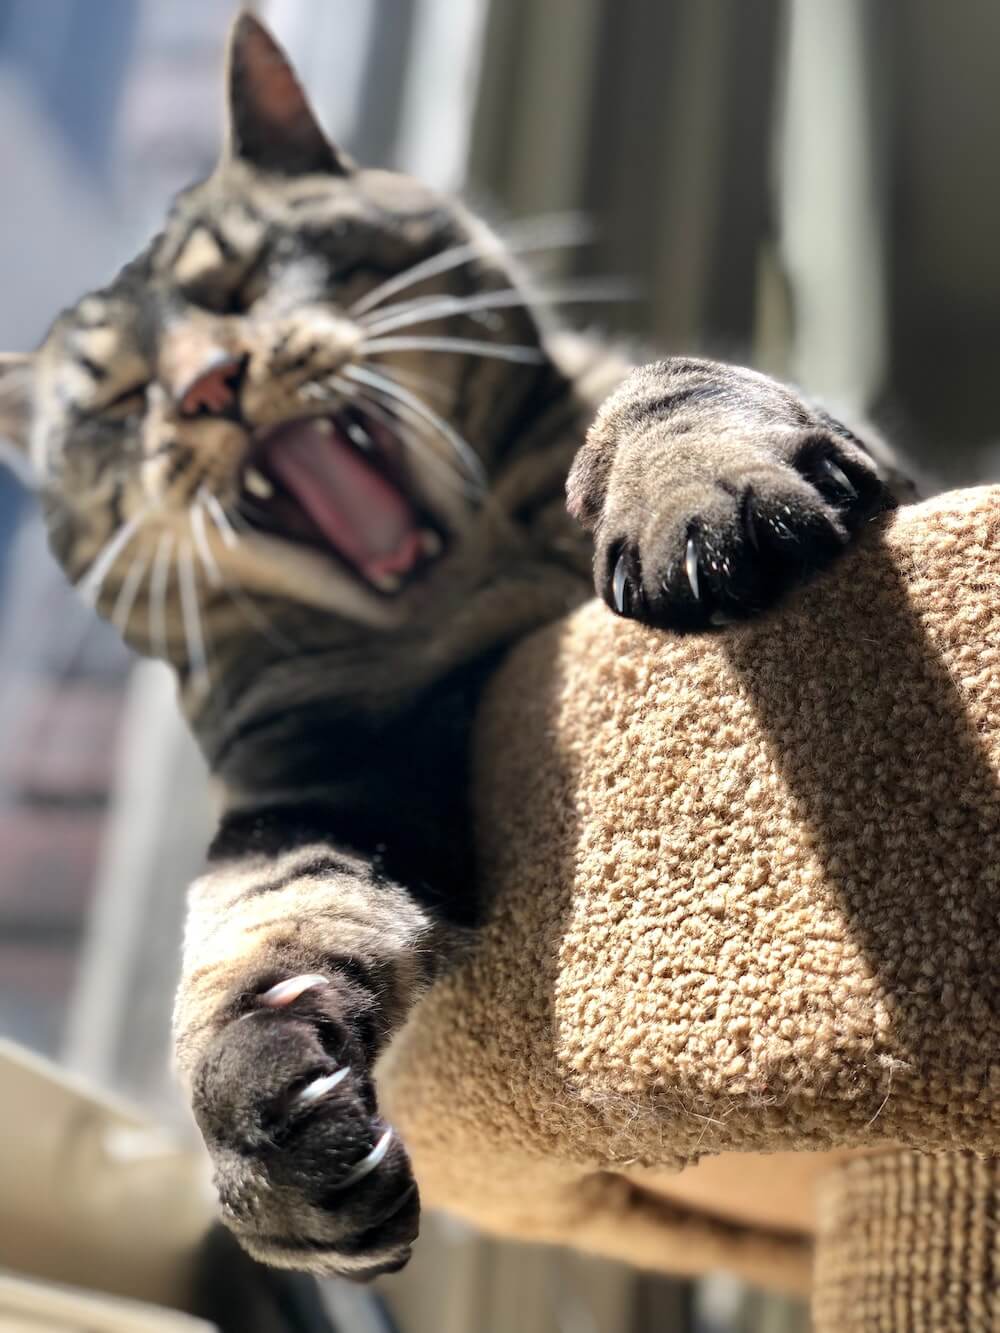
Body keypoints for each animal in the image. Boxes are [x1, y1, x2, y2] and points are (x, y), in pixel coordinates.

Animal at [0, 12, 906, 1279]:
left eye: (236, 283)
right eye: (121, 400)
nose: (208, 385)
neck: (468, 590)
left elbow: (662, 380)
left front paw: (691, 488)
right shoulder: (311, 781)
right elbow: (254, 927)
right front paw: (261, 1140)